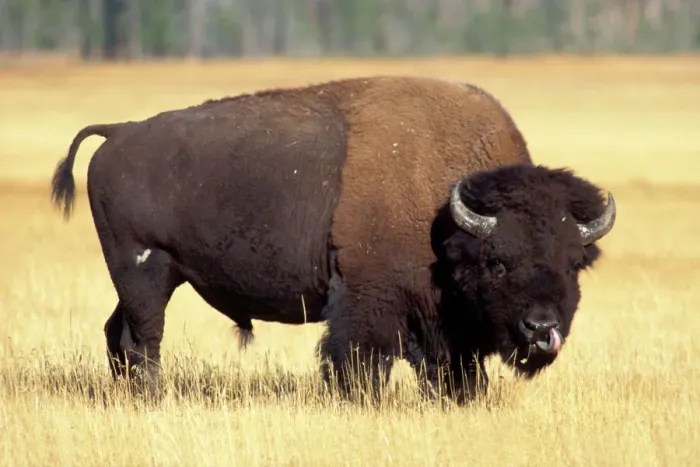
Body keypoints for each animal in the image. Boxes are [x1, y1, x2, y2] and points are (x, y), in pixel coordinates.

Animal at [50, 75, 616, 402]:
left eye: (573, 264)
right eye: (498, 262)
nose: (541, 329)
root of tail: (119, 133)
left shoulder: (443, 323)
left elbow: (450, 370)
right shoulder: (369, 300)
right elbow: (360, 360)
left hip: (151, 278)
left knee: (117, 334)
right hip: (144, 271)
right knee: (143, 340)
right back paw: (152, 397)